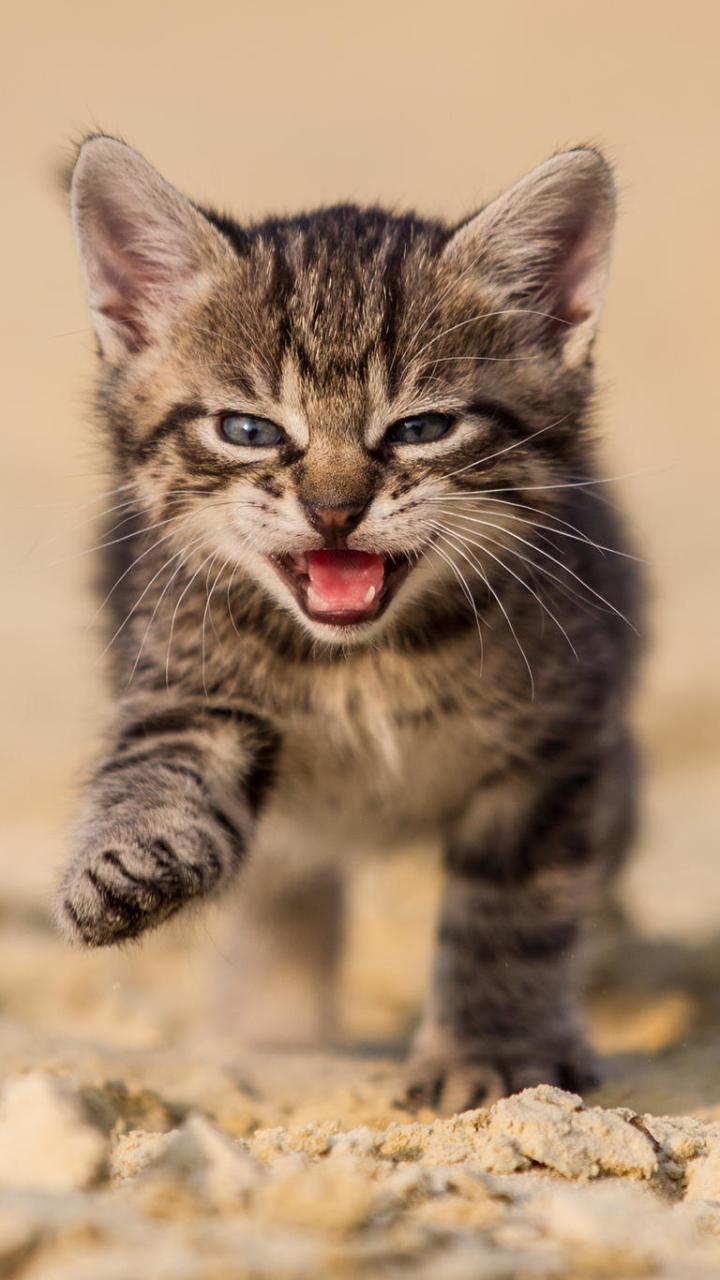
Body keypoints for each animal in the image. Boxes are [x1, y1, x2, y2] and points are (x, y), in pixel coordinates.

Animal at [57, 137, 638, 1111]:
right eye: (248, 429)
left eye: (424, 427)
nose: (334, 510)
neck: (364, 662)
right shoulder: (183, 675)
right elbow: (158, 770)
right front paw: (126, 858)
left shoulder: (557, 744)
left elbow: (513, 910)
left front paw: (492, 1049)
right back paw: (273, 1033)